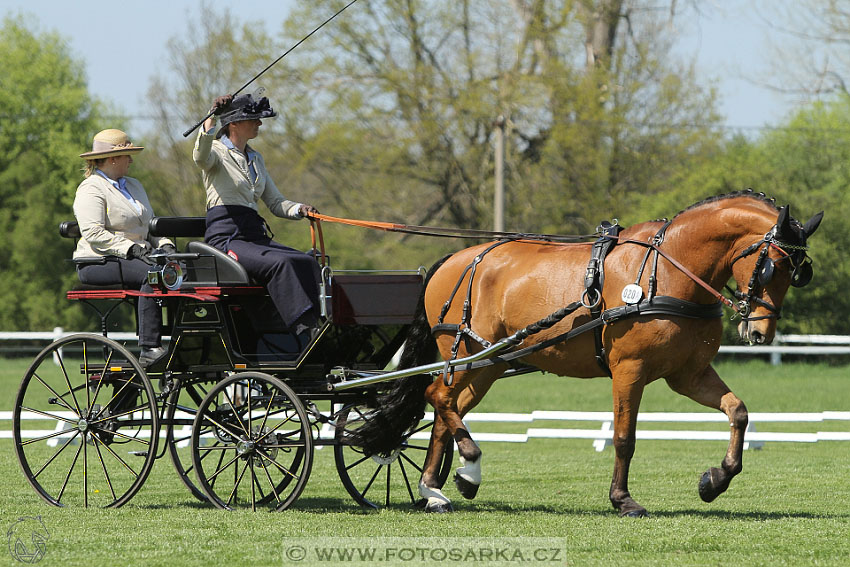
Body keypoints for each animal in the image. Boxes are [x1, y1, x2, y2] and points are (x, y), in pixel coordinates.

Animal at [352, 189, 820, 516]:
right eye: (772, 266)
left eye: (799, 272)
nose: (760, 332)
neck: (669, 270)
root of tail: (456, 259)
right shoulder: (629, 370)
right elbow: (624, 438)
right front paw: (623, 499)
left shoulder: (687, 373)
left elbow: (737, 412)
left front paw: (715, 480)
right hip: (464, 351)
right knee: (439, 397)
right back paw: (467, 468)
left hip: (487, 363)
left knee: (447, 408)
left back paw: (435, 490)